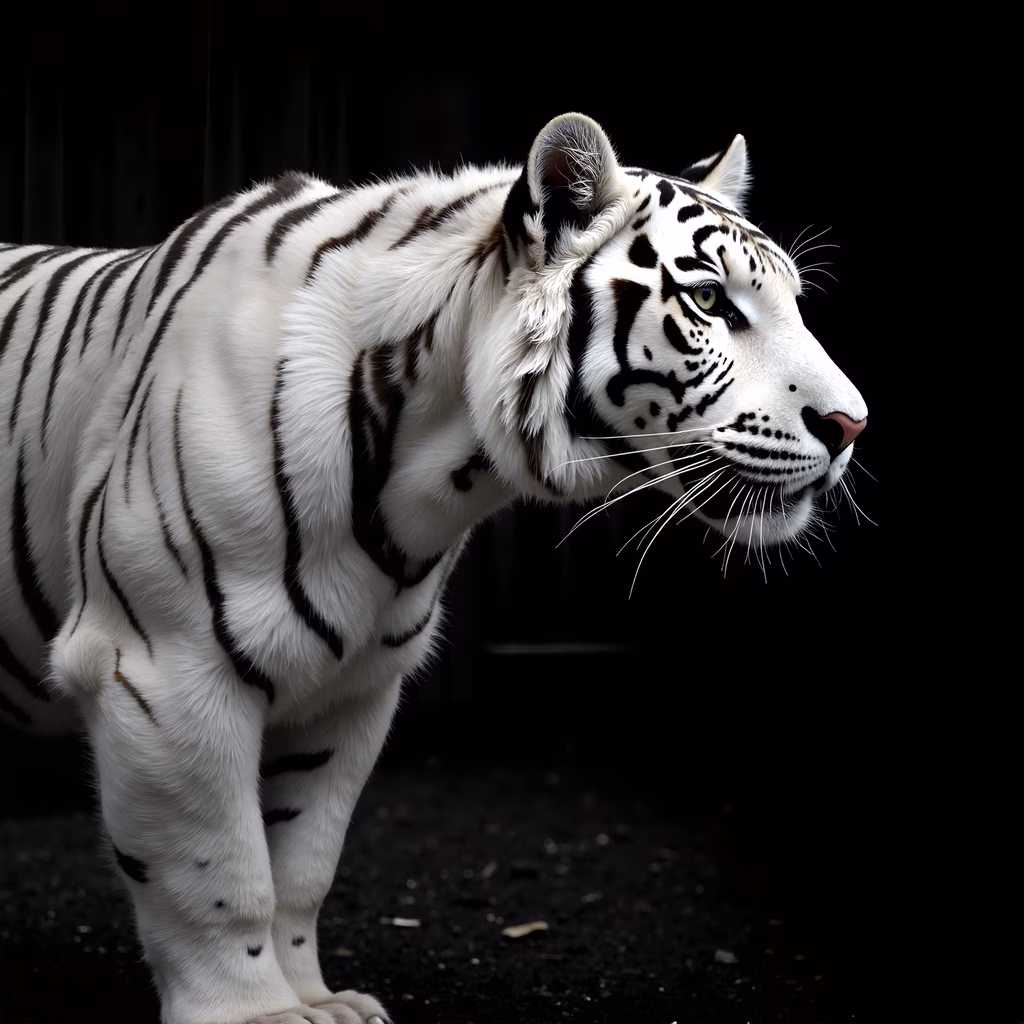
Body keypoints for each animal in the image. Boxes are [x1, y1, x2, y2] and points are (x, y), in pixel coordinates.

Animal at [0, 113, 867, 1024]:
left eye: (792, 302)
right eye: (709, 302)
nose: (853, 425)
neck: (428, 475)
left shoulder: (350, 686)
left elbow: (301, 864)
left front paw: (320, 1000)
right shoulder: (166, 671)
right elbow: (221, 874)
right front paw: (259, 1013)